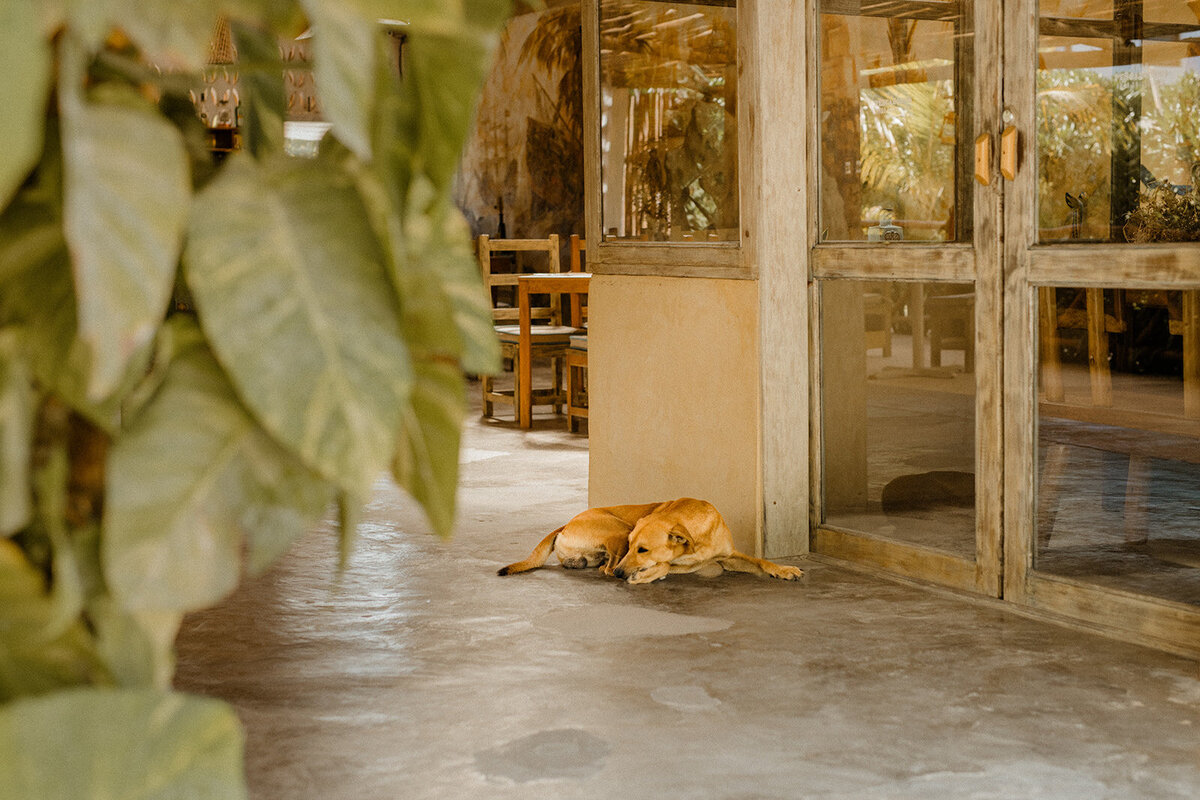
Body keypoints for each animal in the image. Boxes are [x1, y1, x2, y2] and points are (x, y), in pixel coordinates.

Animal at [501, 496, 801, 585]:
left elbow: (760, 561)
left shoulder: (729, 555)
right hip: (618, 530)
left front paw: (784, 569)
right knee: (606, 567)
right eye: (634, 546)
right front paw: (648, 575)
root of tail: (565, 525)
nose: (621, 574)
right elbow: (666, 564)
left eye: (643, 549)